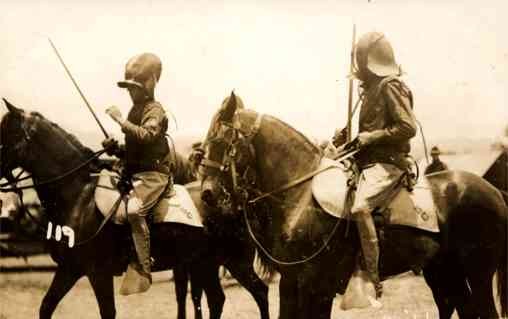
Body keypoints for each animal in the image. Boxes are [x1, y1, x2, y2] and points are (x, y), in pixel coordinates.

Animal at [0, 100, 270, 319]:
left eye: (6, 134)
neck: (79, 195)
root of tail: (237, 198)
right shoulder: (69, 268)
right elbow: (46, 306)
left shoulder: (98, 272)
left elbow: (107, 312)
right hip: (206, 264)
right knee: (216, 300)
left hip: (235, 262)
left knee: (260, 292)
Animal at [199, 91, 508, 318]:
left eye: (219, 140)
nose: (207, 194)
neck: (300, 196)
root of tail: (495, 192)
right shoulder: (292, 283)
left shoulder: (313, 285)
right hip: (445, 271)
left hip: (477, 274)